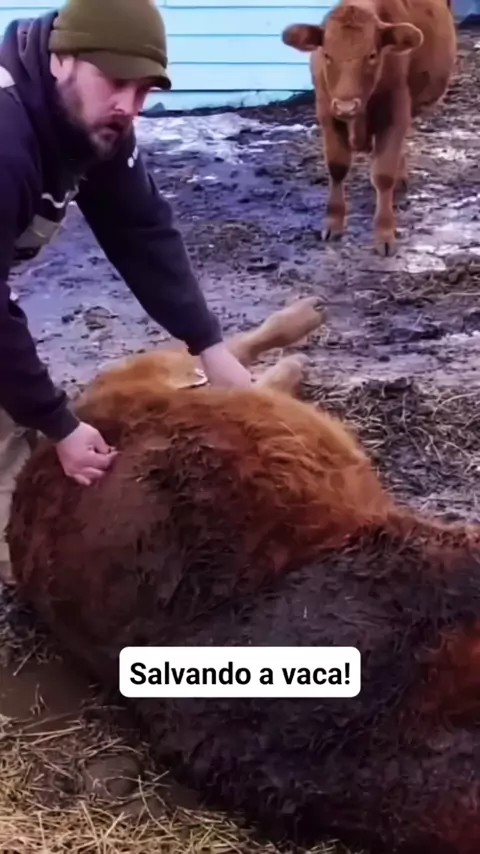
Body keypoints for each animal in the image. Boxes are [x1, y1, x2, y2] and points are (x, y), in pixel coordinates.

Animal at [281, 0, 457, 256]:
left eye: (372, 55)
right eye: (327, 54)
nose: (346, 105)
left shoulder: (395, 114)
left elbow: (383, 175)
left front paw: (384, 233)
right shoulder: (327, 114)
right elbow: (337, 167)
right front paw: (333, 223)